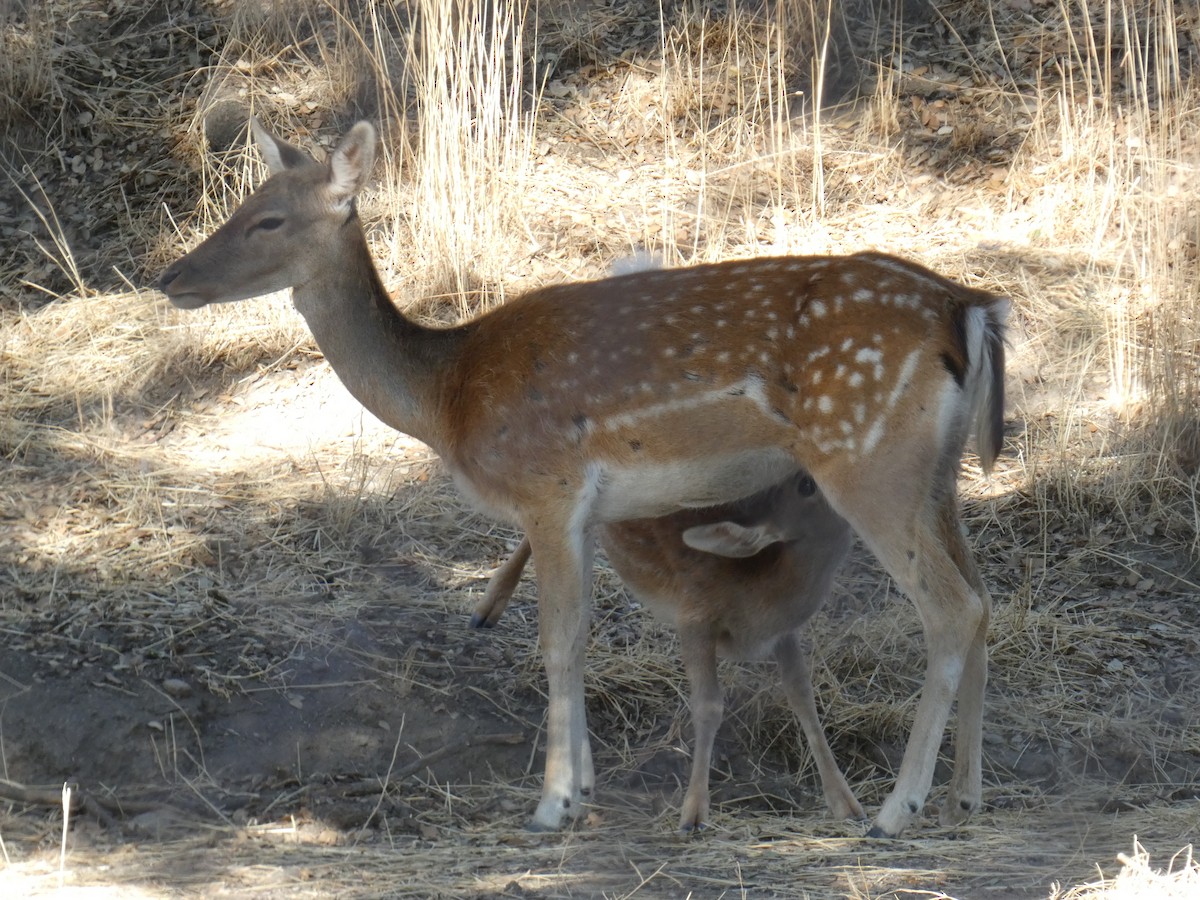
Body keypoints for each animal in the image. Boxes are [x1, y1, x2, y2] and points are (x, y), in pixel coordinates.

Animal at [473, 470, 864, 832]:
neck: (761, 593)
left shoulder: (783, 634)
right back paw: (487, 606)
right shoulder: (694, 617)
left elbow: (803, 697)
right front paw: (693, 813)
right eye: (806, 486)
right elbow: (708, 706)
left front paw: (845, 802)